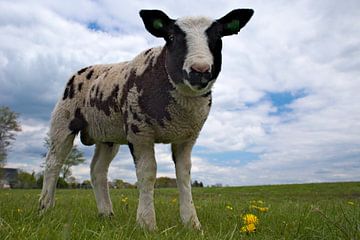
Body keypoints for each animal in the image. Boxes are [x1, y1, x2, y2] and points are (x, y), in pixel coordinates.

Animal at [39, 8, 253, 230]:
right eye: (171, 37)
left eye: (218, 37)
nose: (199, 70)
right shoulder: (139, 131)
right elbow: (148, 173)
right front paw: (146, 223)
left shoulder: (187, 137)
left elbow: (184, 176)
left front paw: (192, 224)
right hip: (63, 121)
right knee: (53, 163)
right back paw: (45, 208)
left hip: (107, 135)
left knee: (97, 170)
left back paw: (106, 214)